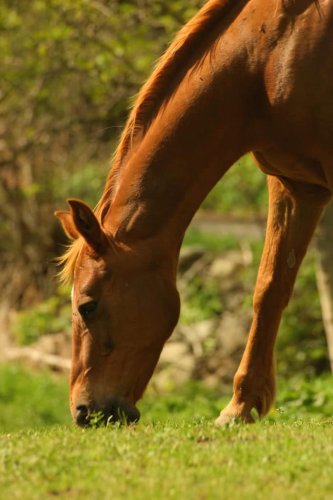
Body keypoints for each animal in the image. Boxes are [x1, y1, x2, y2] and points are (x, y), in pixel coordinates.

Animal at [55, 0, 330, 428]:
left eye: (88, 305)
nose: (84, 412)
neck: (268, 55)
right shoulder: (296, 186)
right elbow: (269, 290)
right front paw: (240, 406)